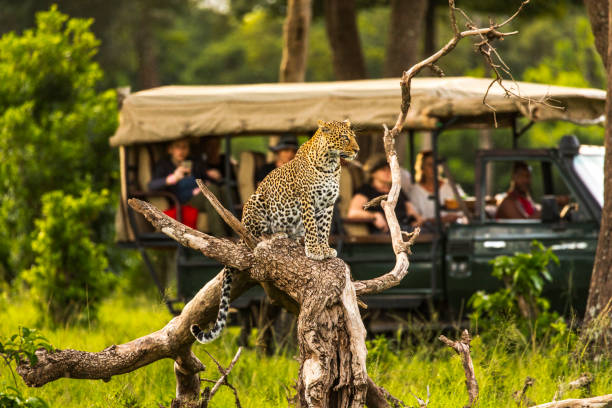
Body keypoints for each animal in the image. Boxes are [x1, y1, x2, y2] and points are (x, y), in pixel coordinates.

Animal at [192, 118, 358, 344]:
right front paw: (314, 250)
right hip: (255, 202)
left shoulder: (328, 205)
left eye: (354, 138)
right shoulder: (307, 200)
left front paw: (325, 249)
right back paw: (276, 235)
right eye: (344, 138)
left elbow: (323, 229)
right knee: (254, 236)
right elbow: (312, 227)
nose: (357, 150)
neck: (330, 164)